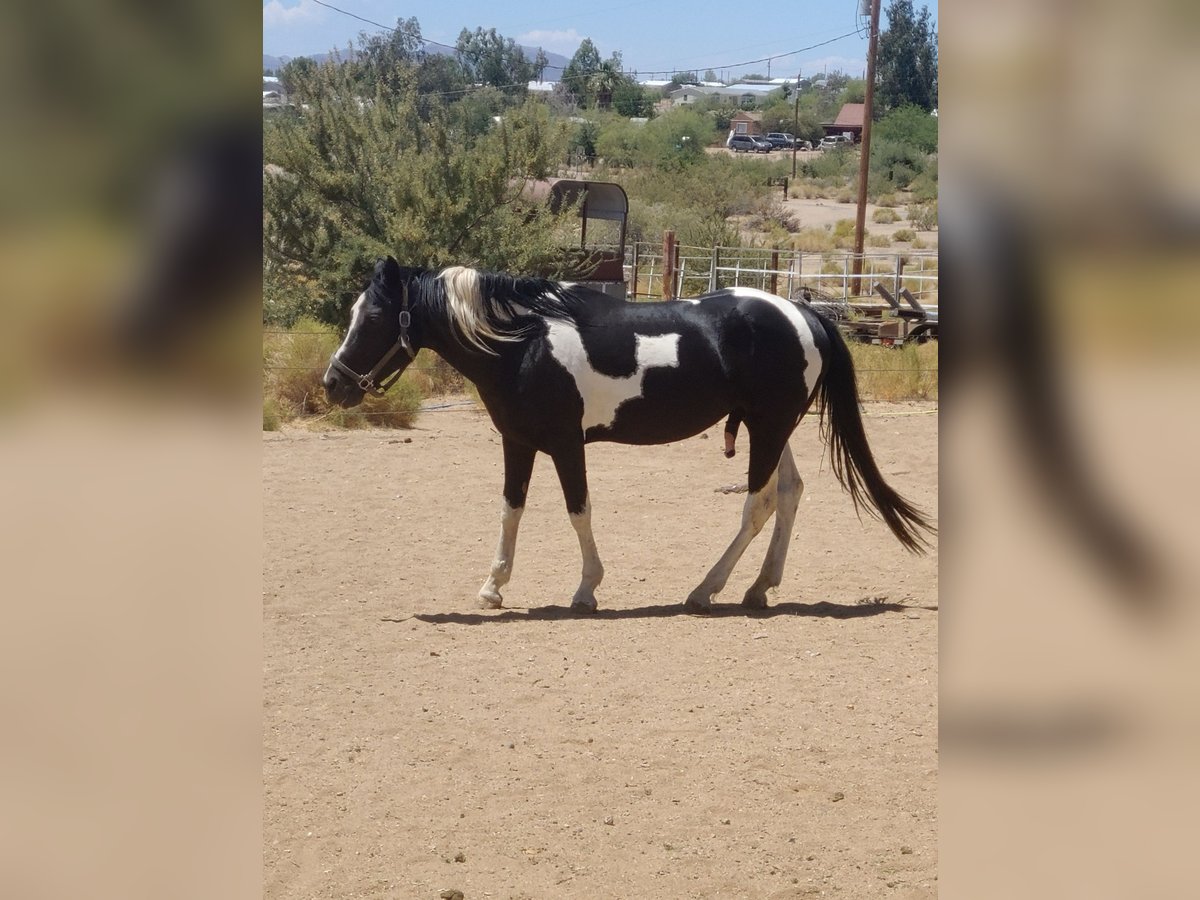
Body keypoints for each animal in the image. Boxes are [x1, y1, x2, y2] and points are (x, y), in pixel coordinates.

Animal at [324, 256, 931, 619]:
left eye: (373, 317)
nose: (334, 384)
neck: (523, 343)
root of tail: (804, 313)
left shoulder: (565, 445)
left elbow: (578, 512)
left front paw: (586, 590)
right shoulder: (518, 442)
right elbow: (510, 511)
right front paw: (493, 587)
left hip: (767, 429)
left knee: (756, 506)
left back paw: (706, 590)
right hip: (771, 430)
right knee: (789, 494)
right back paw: (759, 588)